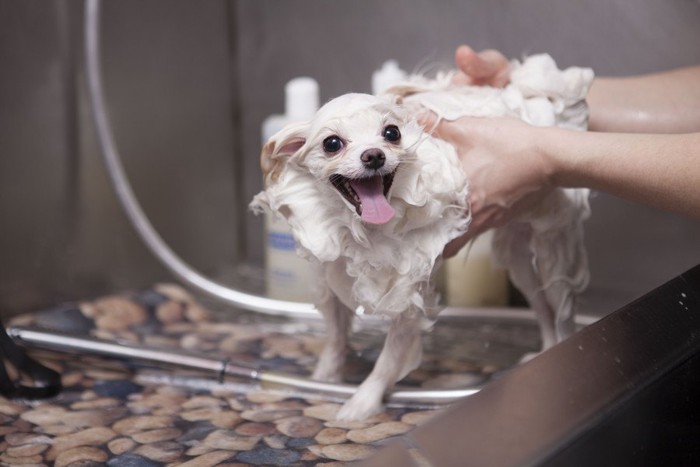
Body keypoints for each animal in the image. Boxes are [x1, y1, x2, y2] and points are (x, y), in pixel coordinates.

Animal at [250, 54, 592, 420]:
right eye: (332, 144)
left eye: (391, 133)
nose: (374, 155)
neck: (361, 231)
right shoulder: (331, 278)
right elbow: (336, 340)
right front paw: (322, 379)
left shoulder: (407, 298)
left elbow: (386, 363)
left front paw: (360, 405)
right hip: (519, 263)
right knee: (542, 310)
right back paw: (544, 351)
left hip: (552, 251)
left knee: (561, 312)